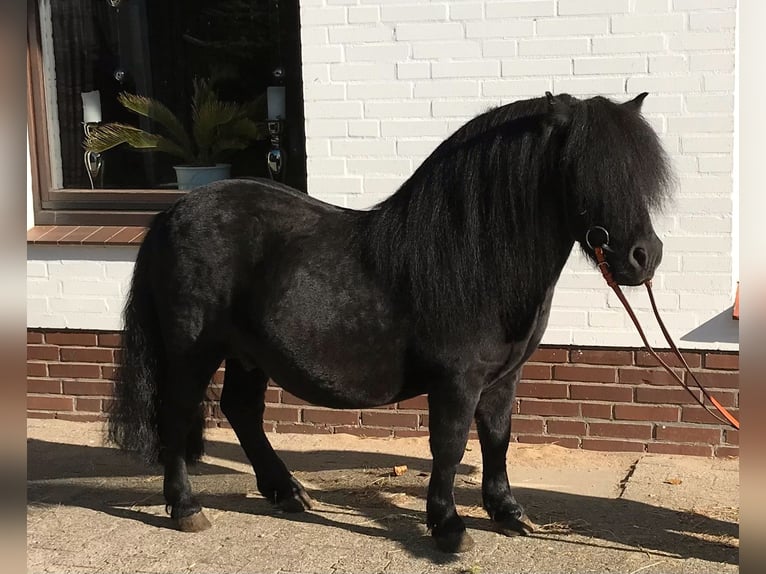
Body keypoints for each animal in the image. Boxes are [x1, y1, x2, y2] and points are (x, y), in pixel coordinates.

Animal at [108, 93, 672, 552]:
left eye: (639, 175)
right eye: (580, 171)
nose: (644, 257)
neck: (476, 259)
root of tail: (169, 214)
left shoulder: (503, 378)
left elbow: (496, 438)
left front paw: (508, 512)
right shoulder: (457, 381)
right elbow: (449, 446)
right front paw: (448, 527)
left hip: (248, 354)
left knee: (242, 412)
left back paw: (288, 492)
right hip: (193, 352)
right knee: (177, 415)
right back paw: (186, 508)